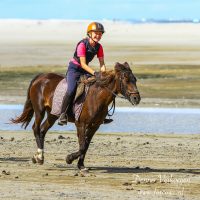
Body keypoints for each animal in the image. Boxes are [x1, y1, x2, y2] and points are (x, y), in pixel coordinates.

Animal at [10, 61, 141, 170]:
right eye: (125, 79)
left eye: (134, 79)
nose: (137, 98)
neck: (96, 97)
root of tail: (40, 77)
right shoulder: (81, 124)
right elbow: (82, 146)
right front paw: (69, 159)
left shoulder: (94, 126)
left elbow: (86, 145)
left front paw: (81, 165)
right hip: (39, 110)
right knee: (36, 128)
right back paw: (39, 156)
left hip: (52, 114)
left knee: (42, 130)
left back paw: (37, 157)